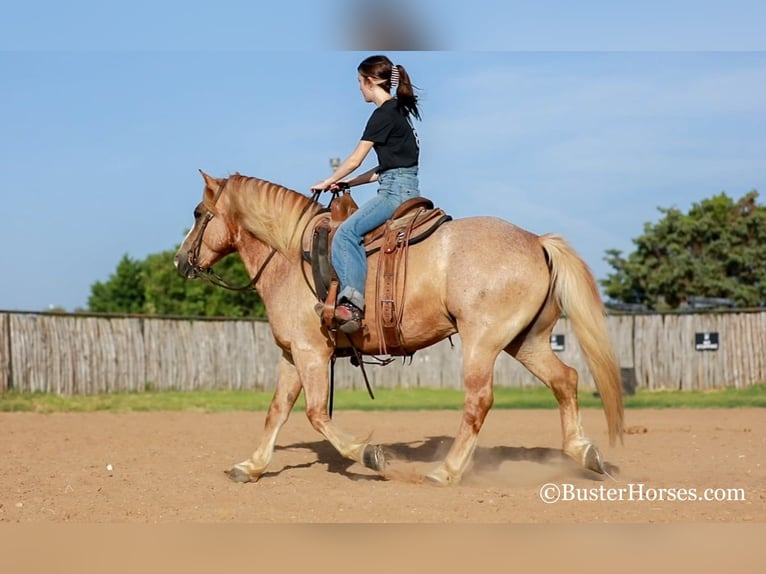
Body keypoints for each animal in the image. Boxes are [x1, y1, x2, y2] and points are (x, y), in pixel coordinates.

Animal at [174, 171, 624, 486]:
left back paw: (446, 471)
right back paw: (585, 454)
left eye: (197, 214)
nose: (180, 261)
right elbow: (276, 412)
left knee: (479, 401)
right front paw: (250, 466)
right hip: (525, 341)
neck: (290, 254)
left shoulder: (311, 353)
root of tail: (536, 241)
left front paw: (368, 454)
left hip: (482, 341)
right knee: (566, 380)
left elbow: (316, 414)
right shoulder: (291, 354)